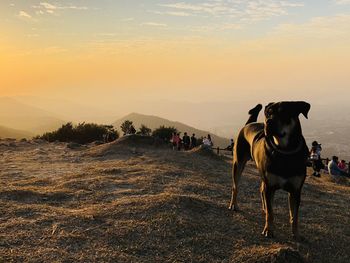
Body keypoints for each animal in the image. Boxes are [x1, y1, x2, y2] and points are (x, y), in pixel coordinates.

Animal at [228, 101, 310, 241]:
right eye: (268, 113)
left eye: (283, 112)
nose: (268, 122)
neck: (284, 151)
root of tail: (248, 124)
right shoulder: (270, 186)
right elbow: (271, 213)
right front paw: (268, 230)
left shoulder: (296, 190)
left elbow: (295, 215)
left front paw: (296, 234)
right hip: (238, 163)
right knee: (236, 186)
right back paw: (234, 204)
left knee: (261, 190)